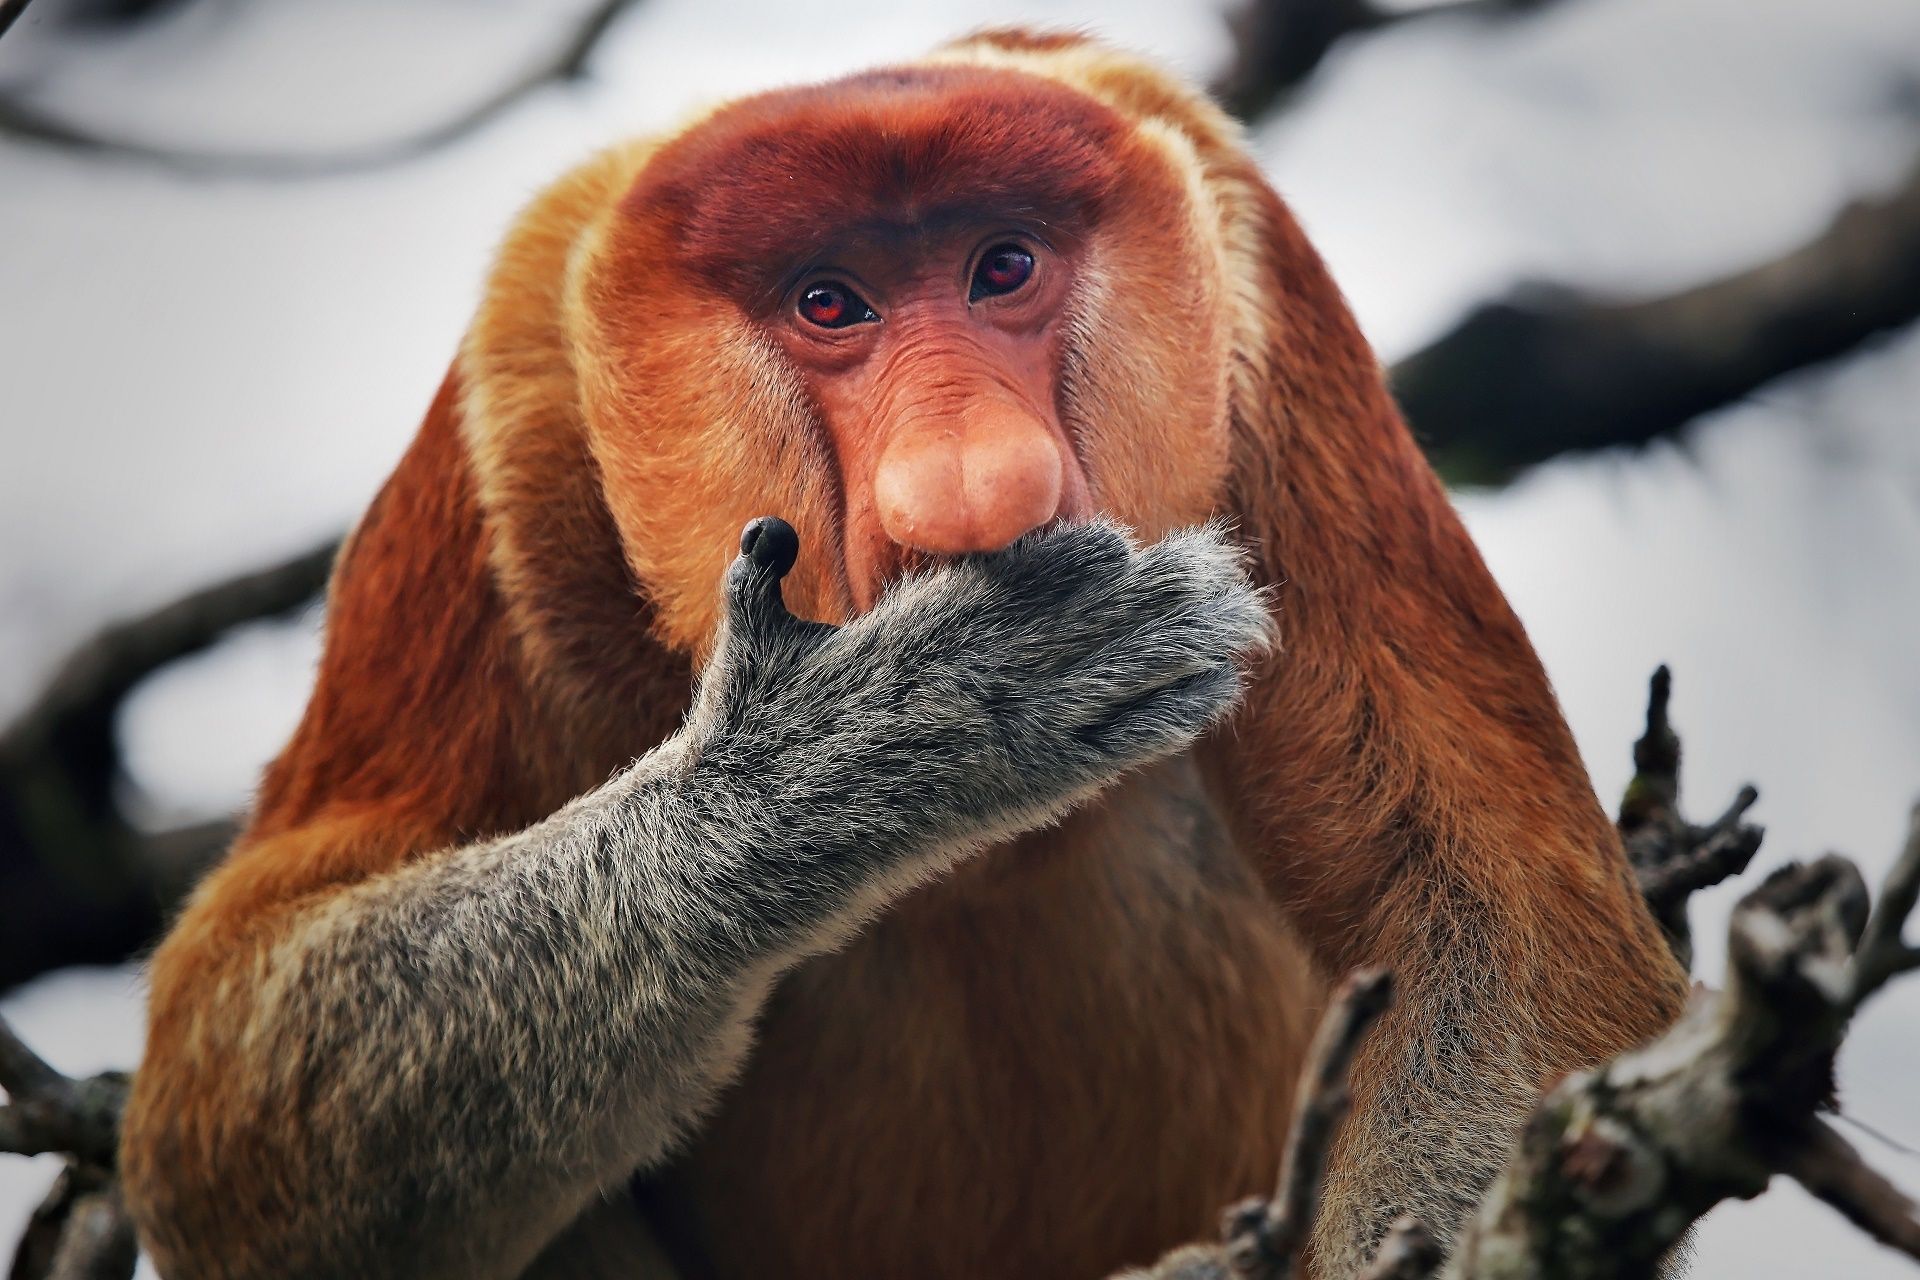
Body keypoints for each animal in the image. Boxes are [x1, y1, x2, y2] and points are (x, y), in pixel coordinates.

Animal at [118, 28, 1690, 1280]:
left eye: (1004, 266)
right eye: (831, 302)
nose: (976, 488)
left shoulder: (1257, 286)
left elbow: (1500, 940)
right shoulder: (512, 419)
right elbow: (224, 1099)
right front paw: (912, 729)